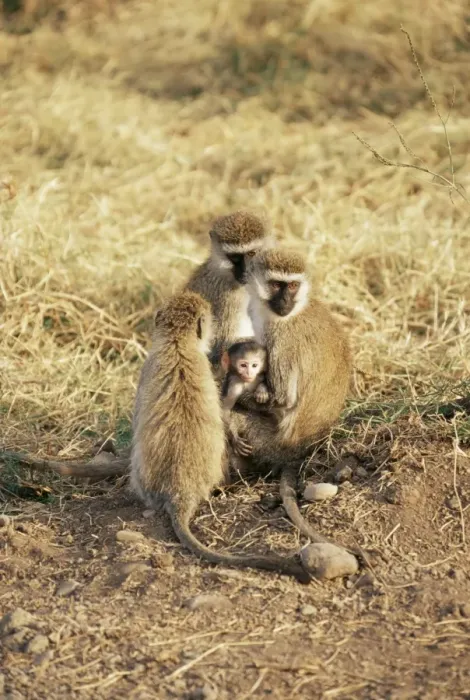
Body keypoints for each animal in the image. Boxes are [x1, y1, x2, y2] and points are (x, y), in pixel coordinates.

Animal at [228, 248, 353, 546]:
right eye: (276, 285)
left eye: (293, 285)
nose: (285, 301)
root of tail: (302, 448)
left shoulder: (280, 337)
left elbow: (283, 398)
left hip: (269, 443)